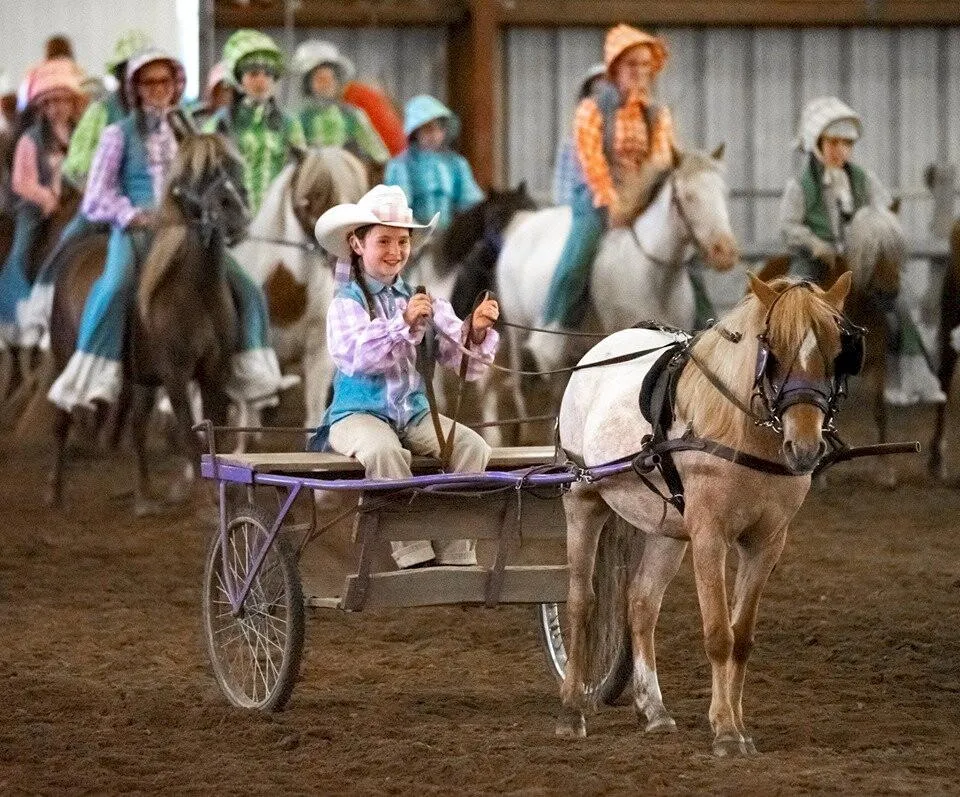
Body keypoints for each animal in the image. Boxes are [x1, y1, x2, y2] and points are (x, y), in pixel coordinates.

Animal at [560, 272, 852, 752]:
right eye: (773, 351)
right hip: (583, 501)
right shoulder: (710, 536)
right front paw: (726, 731)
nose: (805, 448)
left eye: (836, 351)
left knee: (641, 603)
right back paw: (571, 711)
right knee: (581, 602)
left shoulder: (766, 543)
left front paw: (737, 724)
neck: (741, 433)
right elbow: (718, 634)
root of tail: (600, 350)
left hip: (667, 531)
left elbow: (742, 637)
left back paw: (654, 710)